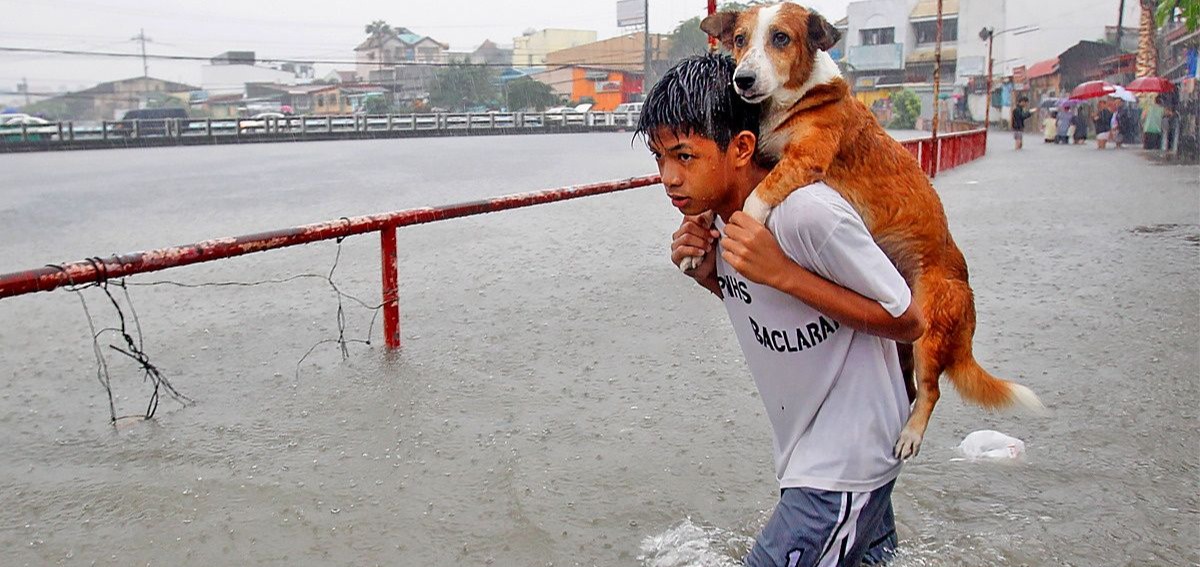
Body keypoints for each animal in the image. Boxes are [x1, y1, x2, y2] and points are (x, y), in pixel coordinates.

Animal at [700, 2, 1041, 458]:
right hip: (905, 344)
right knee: (911, 385)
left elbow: (758, 195)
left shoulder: (805, 158)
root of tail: (967, 300)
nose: (743, 80)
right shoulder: (767, 153)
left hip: (928, 333)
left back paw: (911, 434)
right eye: (739, 39)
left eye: (781, 38)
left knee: (931, 391)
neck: (797, 99)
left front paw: (746, 226)